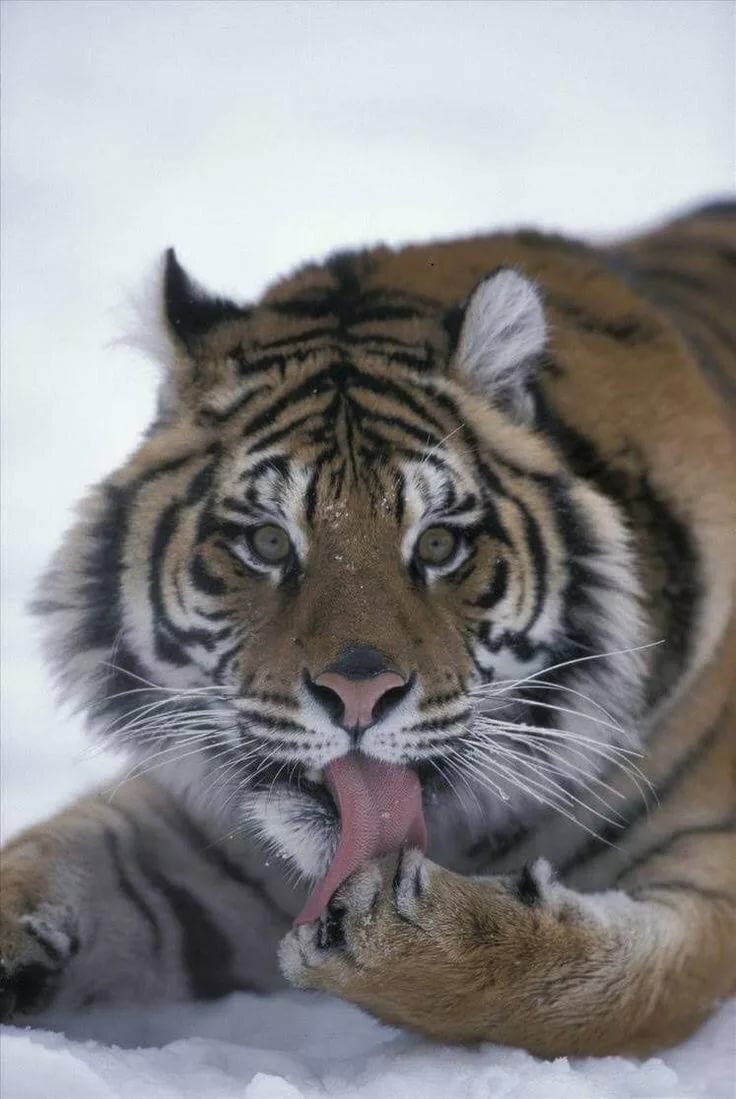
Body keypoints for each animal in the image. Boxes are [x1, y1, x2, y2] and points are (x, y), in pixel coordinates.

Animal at [1, 201, 734, 1057]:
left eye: (440, 544)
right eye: (268, 542)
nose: (359, 693)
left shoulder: (712, 873)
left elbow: (593, 989)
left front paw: (393, 927)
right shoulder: (197, 837)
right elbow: (46, 854)